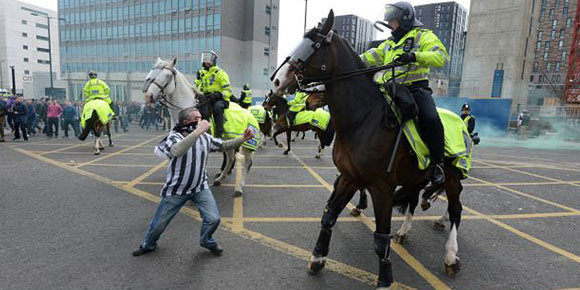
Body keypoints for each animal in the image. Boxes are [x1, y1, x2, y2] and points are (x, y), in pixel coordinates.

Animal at [142, 57, 254, 196]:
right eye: (152, 71)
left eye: (168, 75)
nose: (149, 96)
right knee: (230, 158)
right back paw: (220, 178)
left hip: (246, 144)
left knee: (246, 162)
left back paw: (239, 187)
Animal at [270, 10, 464, 288]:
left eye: (314, 45)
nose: (277, 81)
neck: (362, 120)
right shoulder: (349, 177)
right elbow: (329, 215)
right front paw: (318, 257)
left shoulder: (381, 187)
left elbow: (381, 236)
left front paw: (385, 279)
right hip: (416, 176)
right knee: (414, 200)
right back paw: (405, 230)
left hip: (452, 176)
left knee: (456, 210)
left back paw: (450, 255)